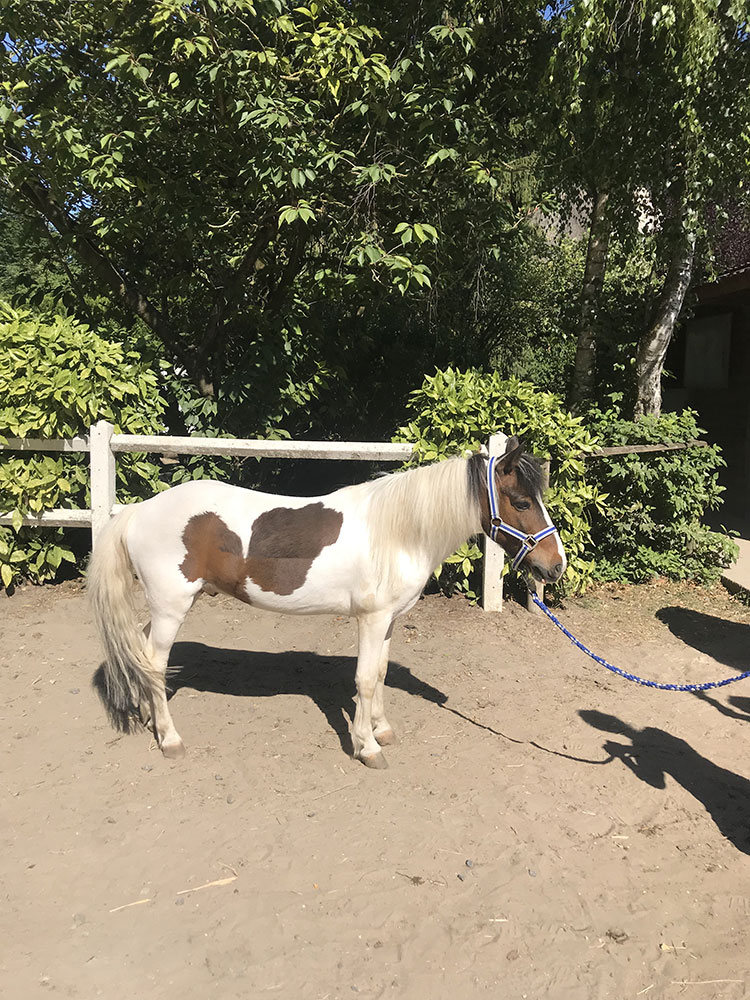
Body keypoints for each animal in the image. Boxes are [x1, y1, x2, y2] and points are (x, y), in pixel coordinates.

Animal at [88, 434, 568, 768]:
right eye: (521, 502)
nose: (556, 565)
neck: (398, 532)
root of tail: (138, 510)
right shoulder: (371, 619)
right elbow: (365, 680)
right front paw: (367, 747)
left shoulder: (389, 621)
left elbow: (379, 673)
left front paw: (381, 730)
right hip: (172, 606)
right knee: (154, 663)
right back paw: (169, 738)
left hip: (164, 608)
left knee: (141, 653)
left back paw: (149, 717)